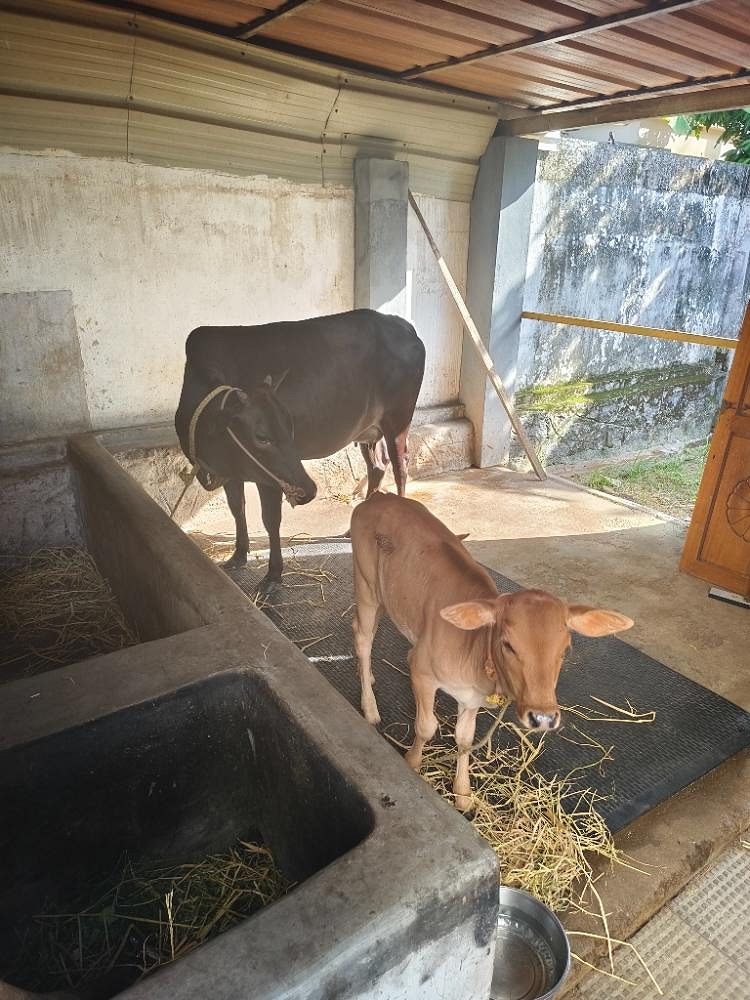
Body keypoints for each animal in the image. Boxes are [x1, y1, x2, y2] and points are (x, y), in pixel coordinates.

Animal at [175, 310, 425, 596]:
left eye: (289, 425)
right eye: (261, 436)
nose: (309, 490)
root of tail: (401, 324)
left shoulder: (269, 478)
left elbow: (271, 520)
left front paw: (273, 575)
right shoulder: (231, 471)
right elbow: (237, 507)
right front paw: (238, 555)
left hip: (397, 421)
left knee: (400, 466)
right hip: (369, 430)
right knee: (378, 466)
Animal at [350, 492, 634, 810]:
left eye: (566, 648)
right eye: (508, 644)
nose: (543, 718)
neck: (475, 653)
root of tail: (379, 497)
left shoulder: (471, 697)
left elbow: (464, 739)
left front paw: (462, 793)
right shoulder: (421, 671)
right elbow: (426, 726)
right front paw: (412, 763)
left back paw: (369, 677)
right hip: (366, 585)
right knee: (362, 638)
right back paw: (370, 707)